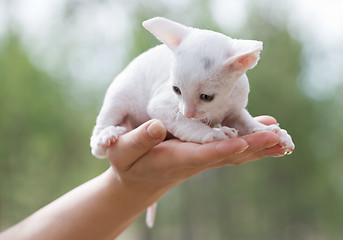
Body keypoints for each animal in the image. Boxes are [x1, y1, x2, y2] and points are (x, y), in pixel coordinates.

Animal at [90, 16, 296, 227]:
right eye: (176, 89)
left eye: (207, 97)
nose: (187, 113)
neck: (221, 105)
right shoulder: (162, 106)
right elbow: (188, 125)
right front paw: (214, 133)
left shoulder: (235, 111)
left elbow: (247, 123)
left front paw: (272, 132)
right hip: (118, 98)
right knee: (98, 144)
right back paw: (108, 134)